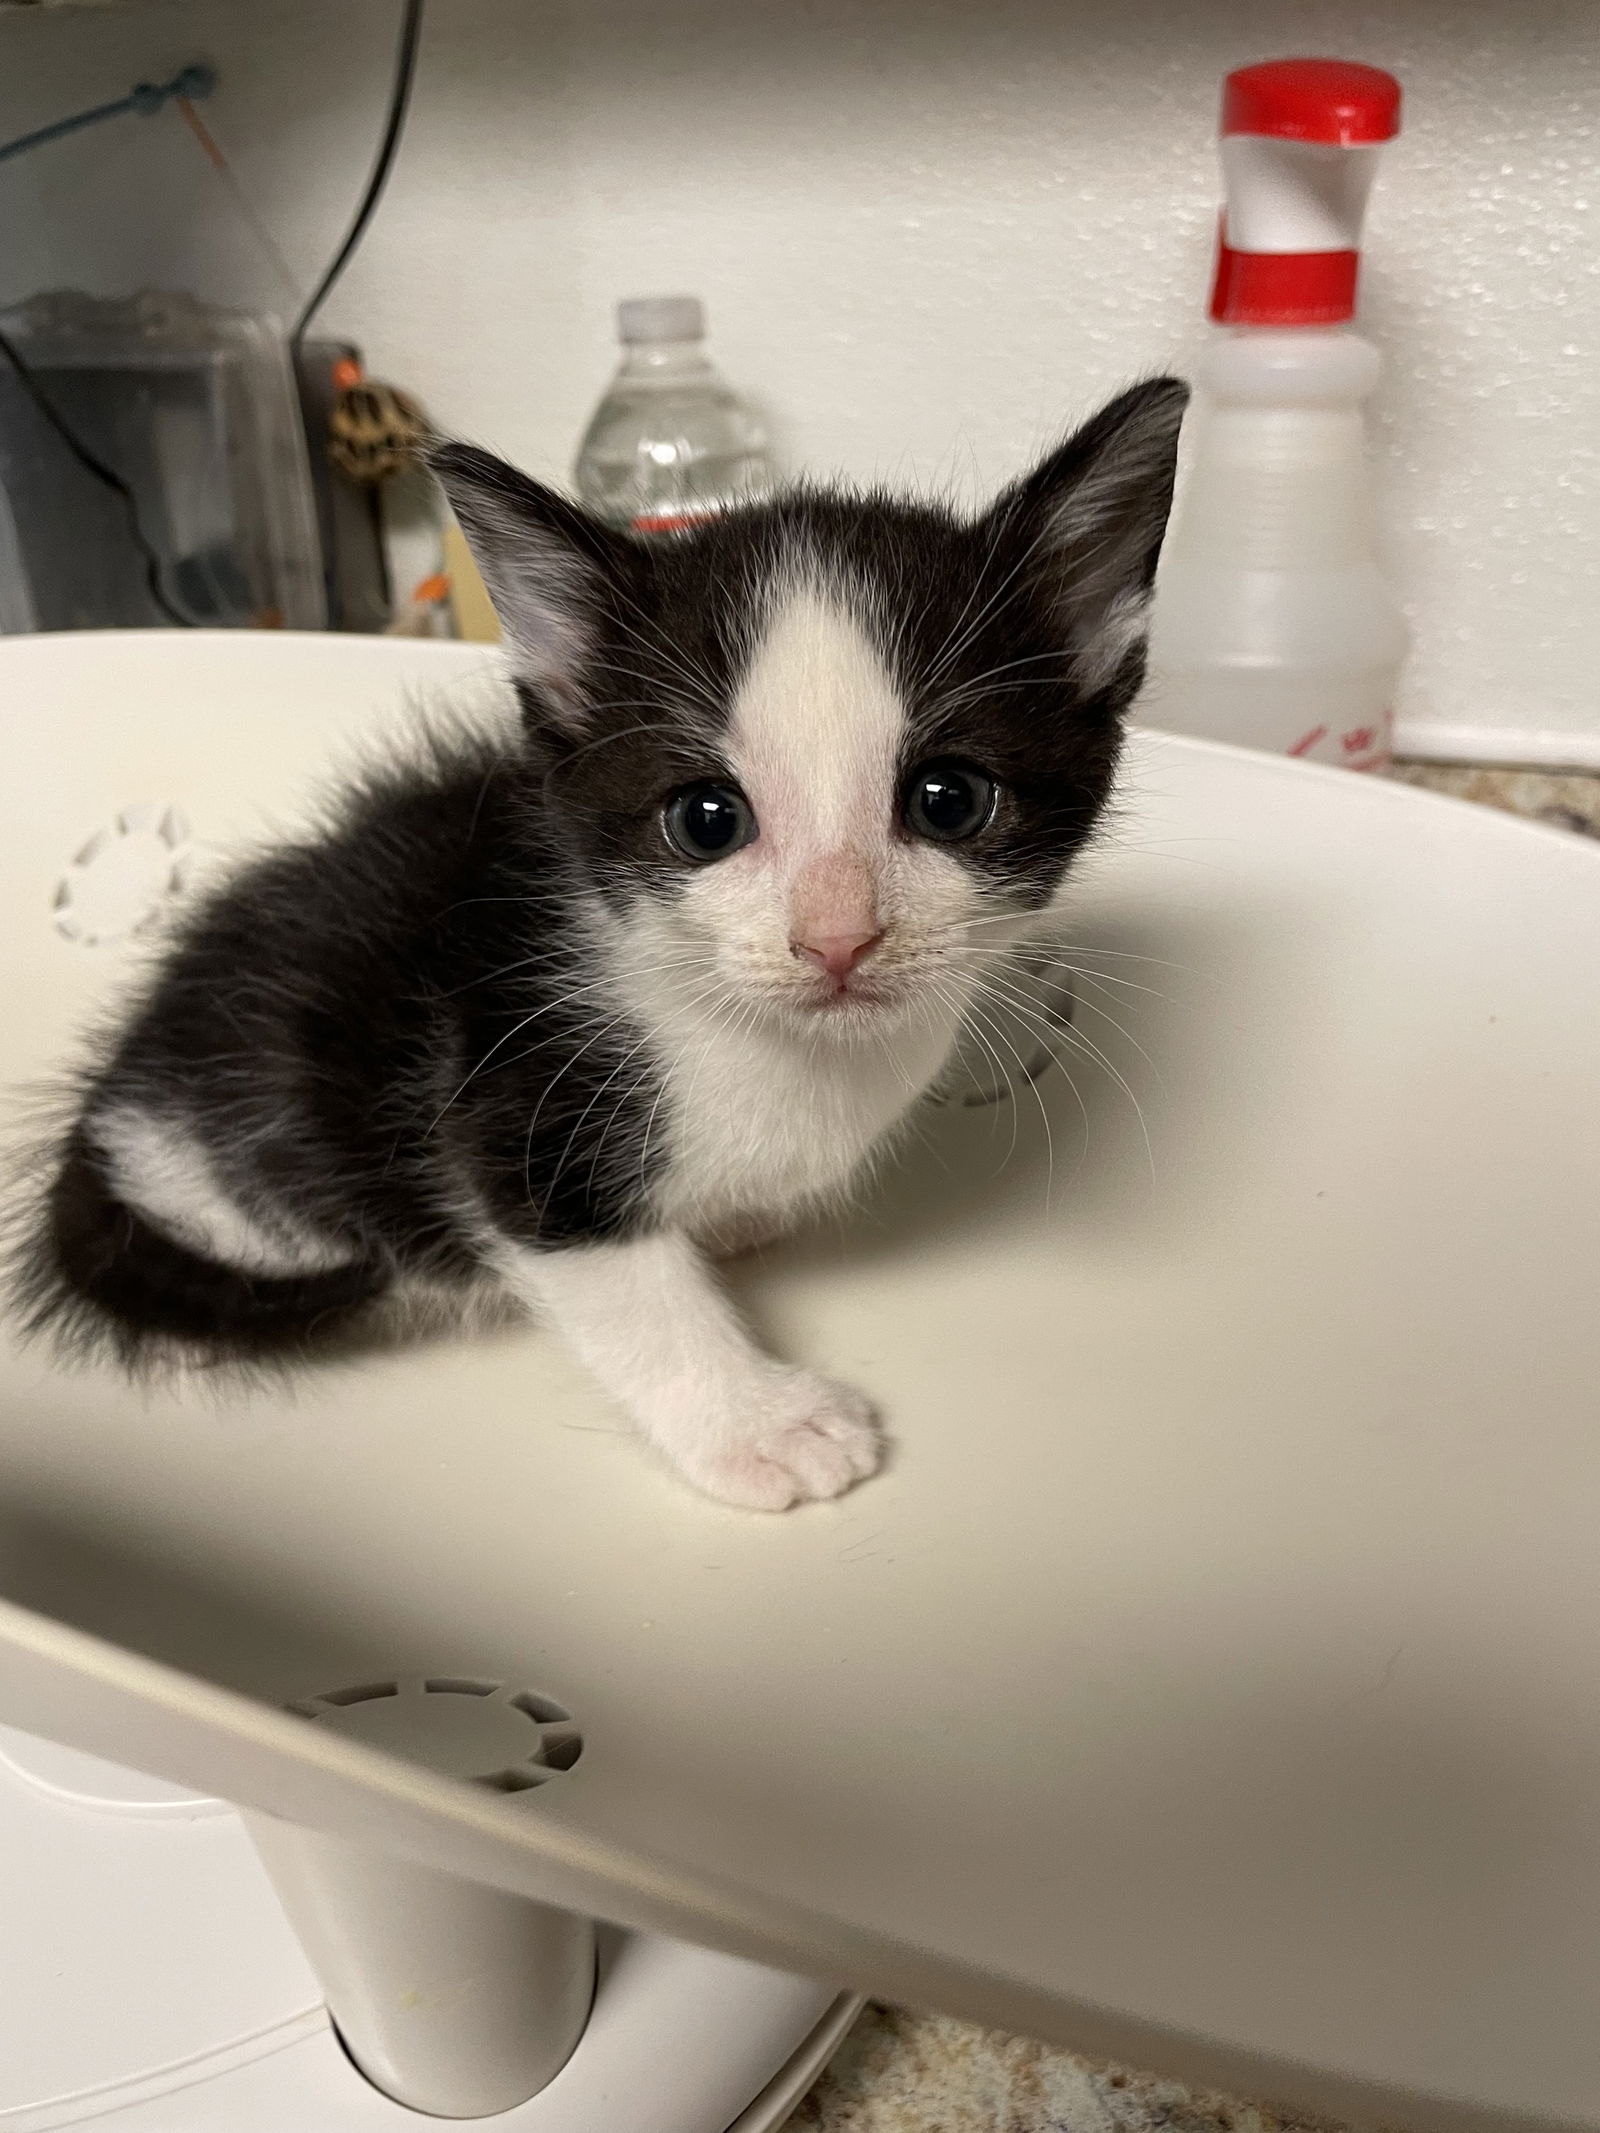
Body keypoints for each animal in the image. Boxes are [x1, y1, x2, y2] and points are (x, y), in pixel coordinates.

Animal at [12, 379, 1194, 1518]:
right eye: (706, 819)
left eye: (950, 800)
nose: (837, 938)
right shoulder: (501, 1097)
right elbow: (623, 1287)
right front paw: (758, 1424)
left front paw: (733, 1227)